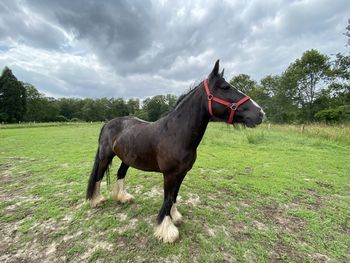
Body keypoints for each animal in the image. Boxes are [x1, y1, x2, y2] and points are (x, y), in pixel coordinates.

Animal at [86, 59, 264, 243]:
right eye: (225, 87)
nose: (260, 113)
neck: (175, 133)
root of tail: (108, 123)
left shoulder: (182, 173)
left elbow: (174, 196)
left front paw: (175, 216)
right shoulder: (169, 175)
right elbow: (168, 197)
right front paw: (166, 230)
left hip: (126, 159)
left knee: (120, 174)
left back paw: (123, 197)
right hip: (105, 156)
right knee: (98, 176)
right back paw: (96, 200)